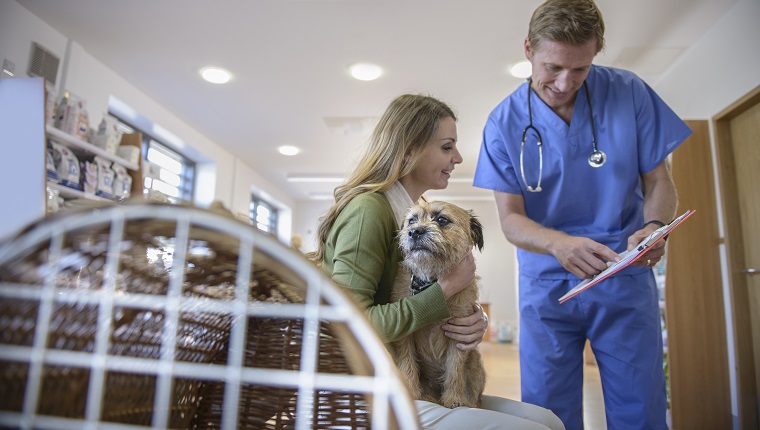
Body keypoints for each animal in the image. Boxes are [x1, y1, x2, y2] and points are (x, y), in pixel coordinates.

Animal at [392, 200, 486, 408]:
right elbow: (408, 364)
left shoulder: (459, 335)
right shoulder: (405, 336)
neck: (432, 281)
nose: (414, 232)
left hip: (475, 359)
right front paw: (411, 394)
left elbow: (455, 369)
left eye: (442, 220)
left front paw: (455, 399)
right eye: (412, 221)